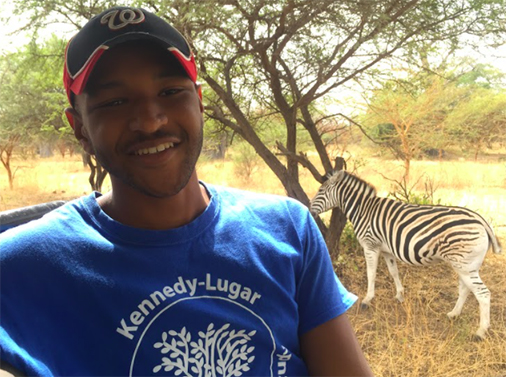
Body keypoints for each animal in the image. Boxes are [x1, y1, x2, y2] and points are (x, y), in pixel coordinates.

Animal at [308, 169, 502, 340]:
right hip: (466, 264)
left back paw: (480, 332)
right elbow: (394, 272)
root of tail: (481, 220)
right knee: (465, 288)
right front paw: (400, 296)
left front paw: (367, 300)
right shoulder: (386, 250)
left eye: (321, 190)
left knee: (483, 293)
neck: (363, 210)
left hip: (464, 264)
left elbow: (371, 274)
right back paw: (454, 314)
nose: (309, 210)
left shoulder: (370, 246)